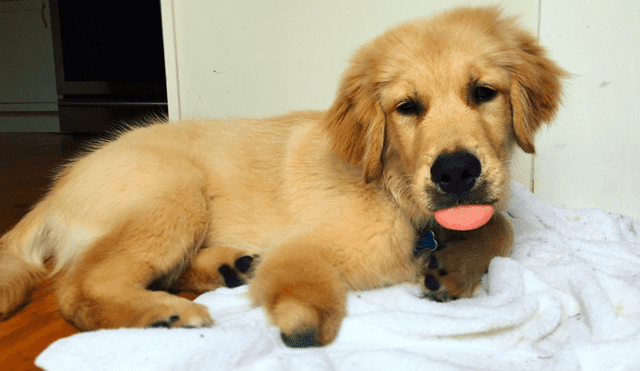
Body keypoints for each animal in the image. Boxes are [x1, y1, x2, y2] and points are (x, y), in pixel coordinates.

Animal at [0, 6, 564, 348]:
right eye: (407, 107)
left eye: (483, 93)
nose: (456, 171)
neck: (395, 193)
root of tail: (55, 190)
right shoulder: (309, 245)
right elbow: (303, 281)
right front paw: (301, 320)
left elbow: (502, 225)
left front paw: (455, 267)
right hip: (175, 190)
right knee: (79, 286)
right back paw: (165, 314)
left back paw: (229, 266)